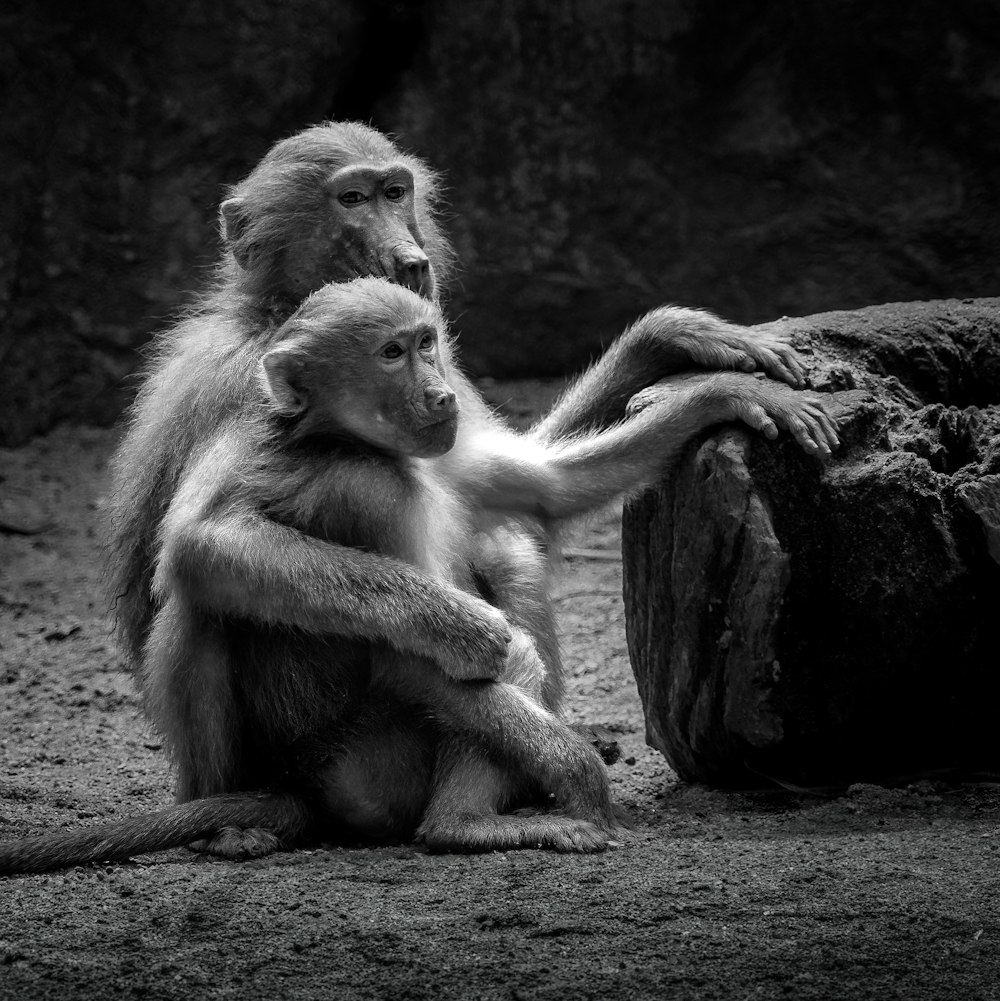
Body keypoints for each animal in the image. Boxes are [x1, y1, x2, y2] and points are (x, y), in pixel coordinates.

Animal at [0, 278, 848, 872]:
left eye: (426, 342)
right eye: (390, 353)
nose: (439, 390)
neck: (356, 444)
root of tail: (304, 789)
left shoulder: (451, 448)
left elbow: (547, 487)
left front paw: (706, 368)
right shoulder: (368, 487)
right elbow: (399, 651)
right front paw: (575, 771)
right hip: (366, 770)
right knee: (213, 591)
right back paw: (443, 825)